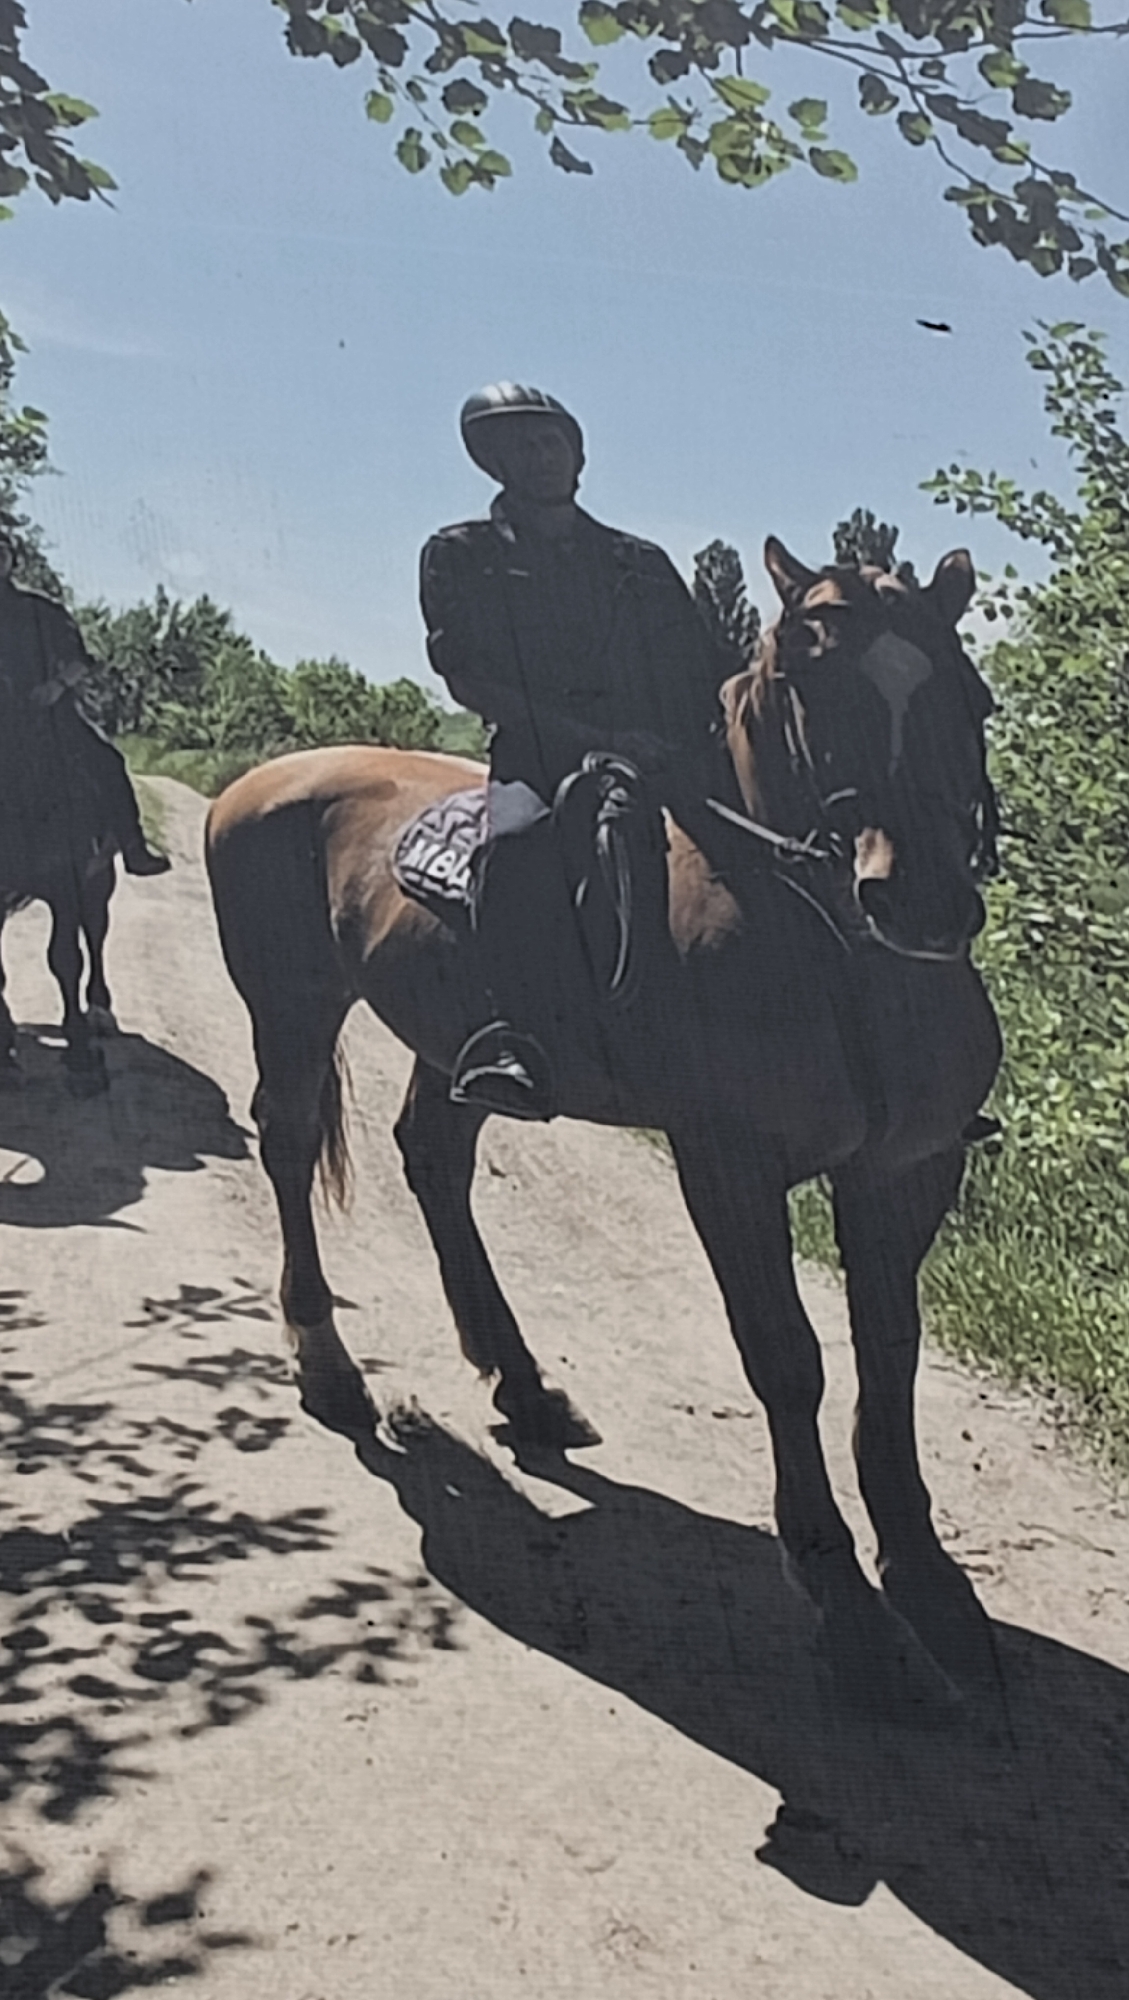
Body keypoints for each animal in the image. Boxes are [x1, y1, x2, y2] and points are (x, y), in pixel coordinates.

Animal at [204, 538, 1003, 1713]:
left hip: (448, 1044)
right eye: (809, 685)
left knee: (432, 1161)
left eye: (969, 696)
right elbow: (787, 1359)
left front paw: (929, 1582)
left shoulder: (907, 1172)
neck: (826, 955)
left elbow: (886, 1357)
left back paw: (524, 1388)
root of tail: (261, 782)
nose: (922, 903)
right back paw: (329, 1366)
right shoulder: (727, 1166)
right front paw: (845, 1602)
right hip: (293, 1007)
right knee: (292, 1147)